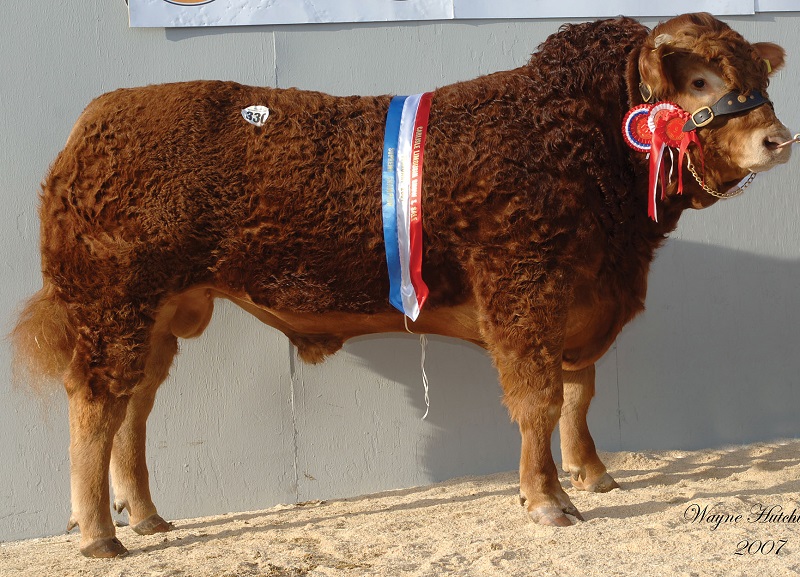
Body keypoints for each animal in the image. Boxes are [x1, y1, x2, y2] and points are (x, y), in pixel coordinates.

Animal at [10, 12, 792, 552]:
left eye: (760, 78)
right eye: (701, 80)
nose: (779, 139)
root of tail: (101, 116)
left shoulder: (578, 301)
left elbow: (578, 395)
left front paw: (593, 473)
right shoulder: (522, 290)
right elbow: (538, 400)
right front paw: (547, 499)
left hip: (159, 314)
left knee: (133, 409)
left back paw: (145, 516)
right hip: (111, 302)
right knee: (94, 406)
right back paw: (99, 535)